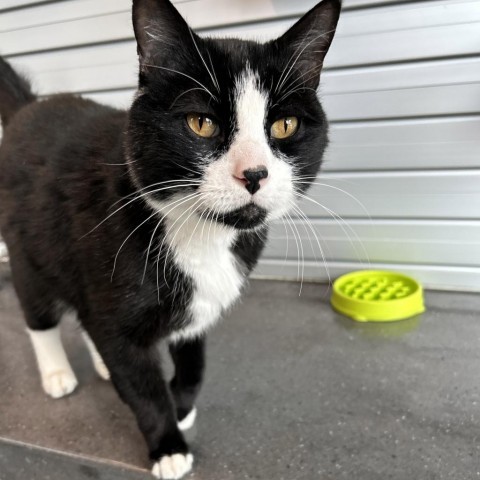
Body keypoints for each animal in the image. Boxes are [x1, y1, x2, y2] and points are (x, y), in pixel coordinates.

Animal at [0, 0, 340, 478]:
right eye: (201, 123)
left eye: (285, 125)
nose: (254, 173)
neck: (201, 236)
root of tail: (27, 109)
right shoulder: (114, 298)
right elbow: (141, 386)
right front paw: (168, 445)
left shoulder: (201, 306)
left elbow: (194, 363)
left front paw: (181, 406)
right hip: (29, 246)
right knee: (40, 312)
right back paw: (56, 373)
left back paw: (100, 364)